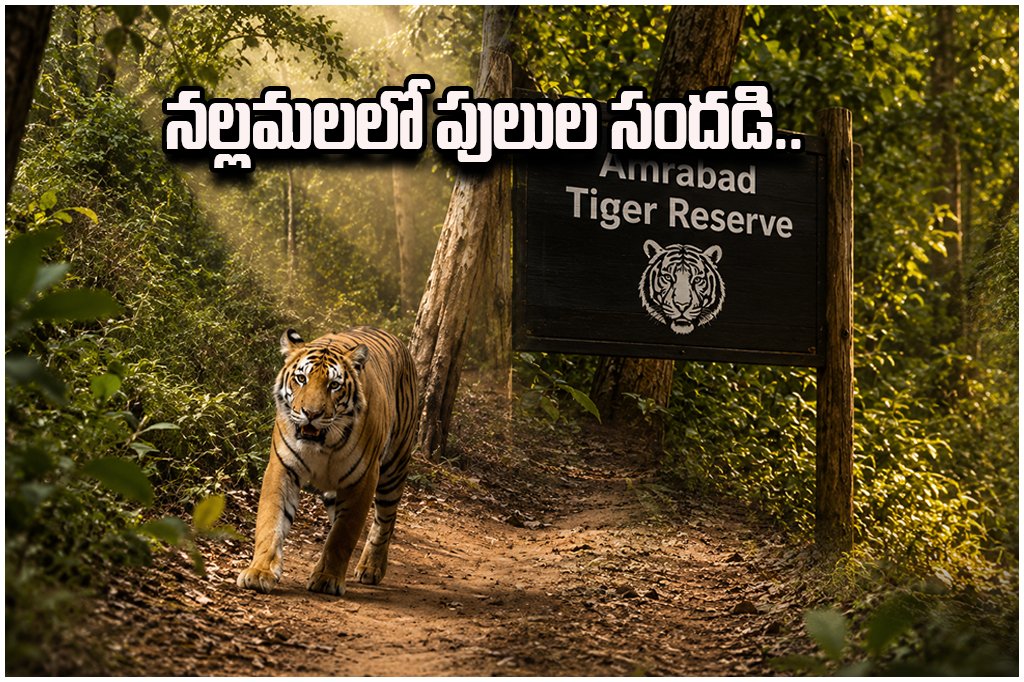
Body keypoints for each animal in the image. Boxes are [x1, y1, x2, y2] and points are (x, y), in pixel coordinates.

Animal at [236, 326, 418, 596]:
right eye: (301, 379)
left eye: (334, 385)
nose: (311, 414)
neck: (322, 445)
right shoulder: (282, 469)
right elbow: (271, 522)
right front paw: (260, 572)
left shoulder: (363, 479)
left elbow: (342, 534)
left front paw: (327, 578)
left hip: (393, 468)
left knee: (385, 519)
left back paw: (371, 568)